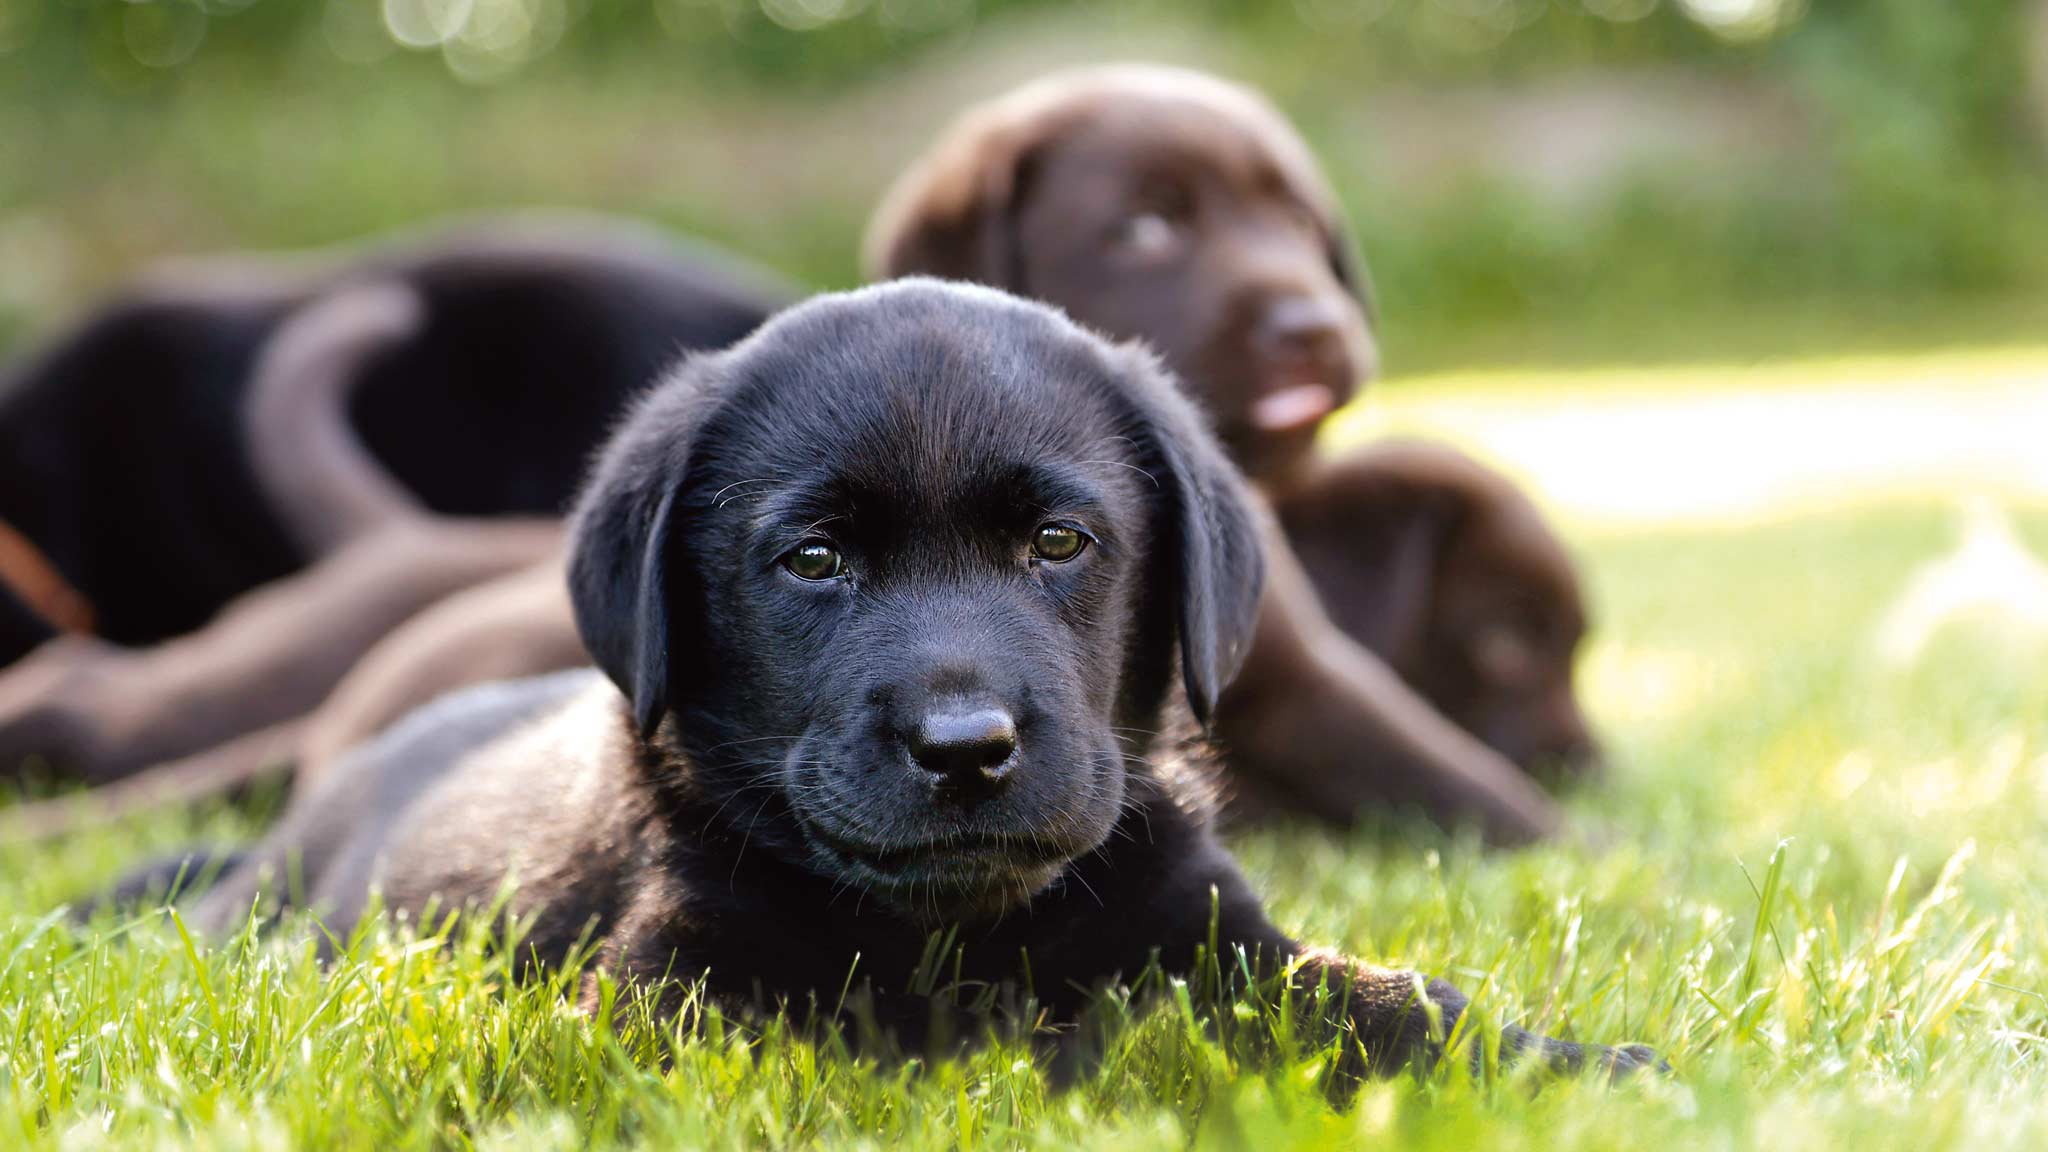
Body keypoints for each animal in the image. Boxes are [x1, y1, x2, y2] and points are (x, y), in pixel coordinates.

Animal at [184, 280, 1654, 1074]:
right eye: (814, 561)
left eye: (1060, 544)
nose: (965, 747)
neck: (954, 929)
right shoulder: (666, 982)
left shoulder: (1215, 935)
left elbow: (1393, 1003)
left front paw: (1578, 1066)